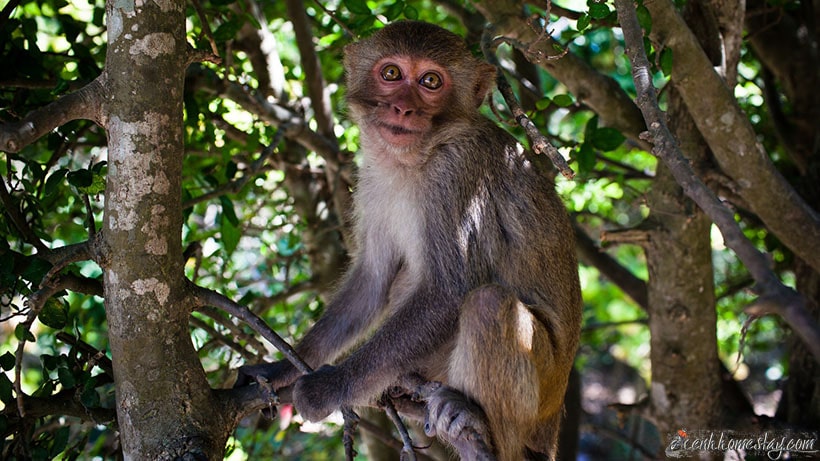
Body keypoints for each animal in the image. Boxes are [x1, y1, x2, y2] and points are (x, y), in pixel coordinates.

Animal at [237, 19, 584, 458]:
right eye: (391, 73)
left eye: (430, 81)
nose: (403, 108)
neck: (414, 158)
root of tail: (552, 421)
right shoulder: (371, 181)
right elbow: (373, 281)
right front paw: (281, 369)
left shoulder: (456, 173)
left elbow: (448, 290)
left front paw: (327, 388)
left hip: (540, 394)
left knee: (488, 303)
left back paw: (473, 422)